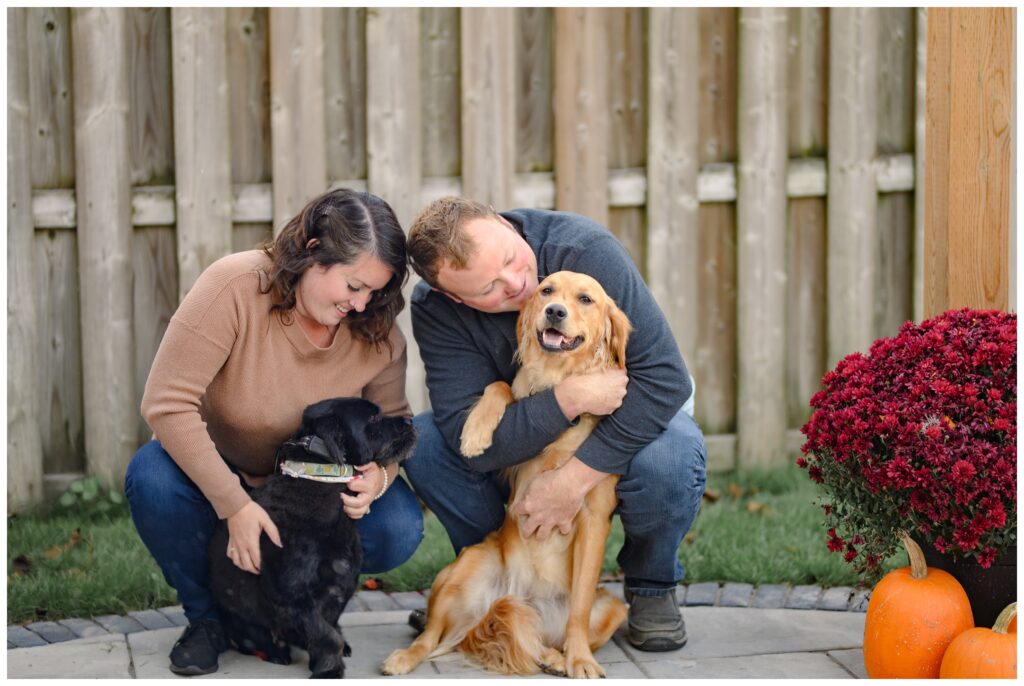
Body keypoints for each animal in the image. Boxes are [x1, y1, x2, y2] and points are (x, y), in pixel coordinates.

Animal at [207, 401, 415, 679]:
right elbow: (326, 635)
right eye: (373, 418)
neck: (319, 483)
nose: (410, 421)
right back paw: (275, 652)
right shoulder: (292, 594)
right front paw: (329, 669)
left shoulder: (343, 582)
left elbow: (331, 627)